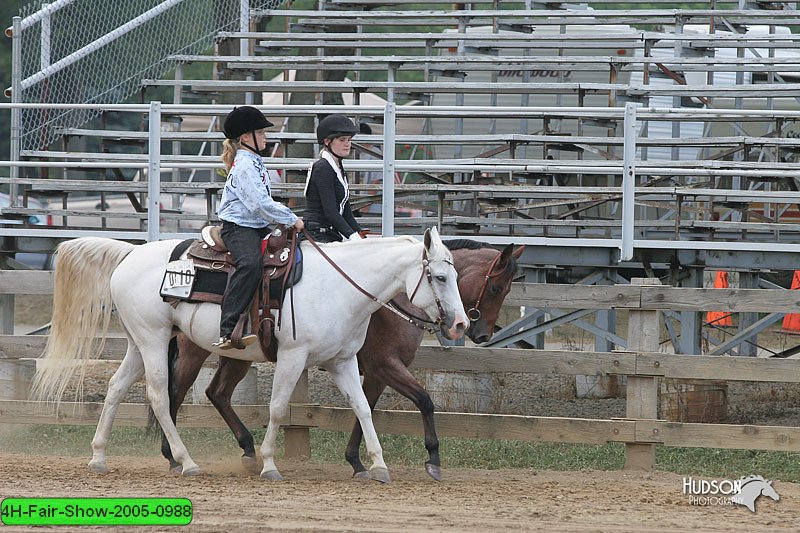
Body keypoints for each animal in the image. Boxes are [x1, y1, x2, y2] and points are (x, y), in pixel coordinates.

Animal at [32, 229, 468, 482]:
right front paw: (270, 464)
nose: (461, 324)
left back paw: (99, 456)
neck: (338, 287)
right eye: (440, 277)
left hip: (139, 343)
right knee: (159, 395)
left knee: (117, 388)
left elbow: (362, 409)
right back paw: (186, 461)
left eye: (457, 276)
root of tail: (129, 255)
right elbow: (276, 409)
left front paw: (376, 465)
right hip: (154, 340)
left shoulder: (344, 362)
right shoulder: (294, 356)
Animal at [157, 239, 524, 480]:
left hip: (239, 354)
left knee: (216, 392)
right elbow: (424, 400)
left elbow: (364, 409)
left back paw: (247, 451)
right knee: (174, 393)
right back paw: (174, 457)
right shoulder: (384, 366)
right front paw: (432, 458)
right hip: (194, 351)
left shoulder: (369, 372)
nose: (477, 332)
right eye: (496, 288)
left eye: (506, 290)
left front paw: (358, 462)